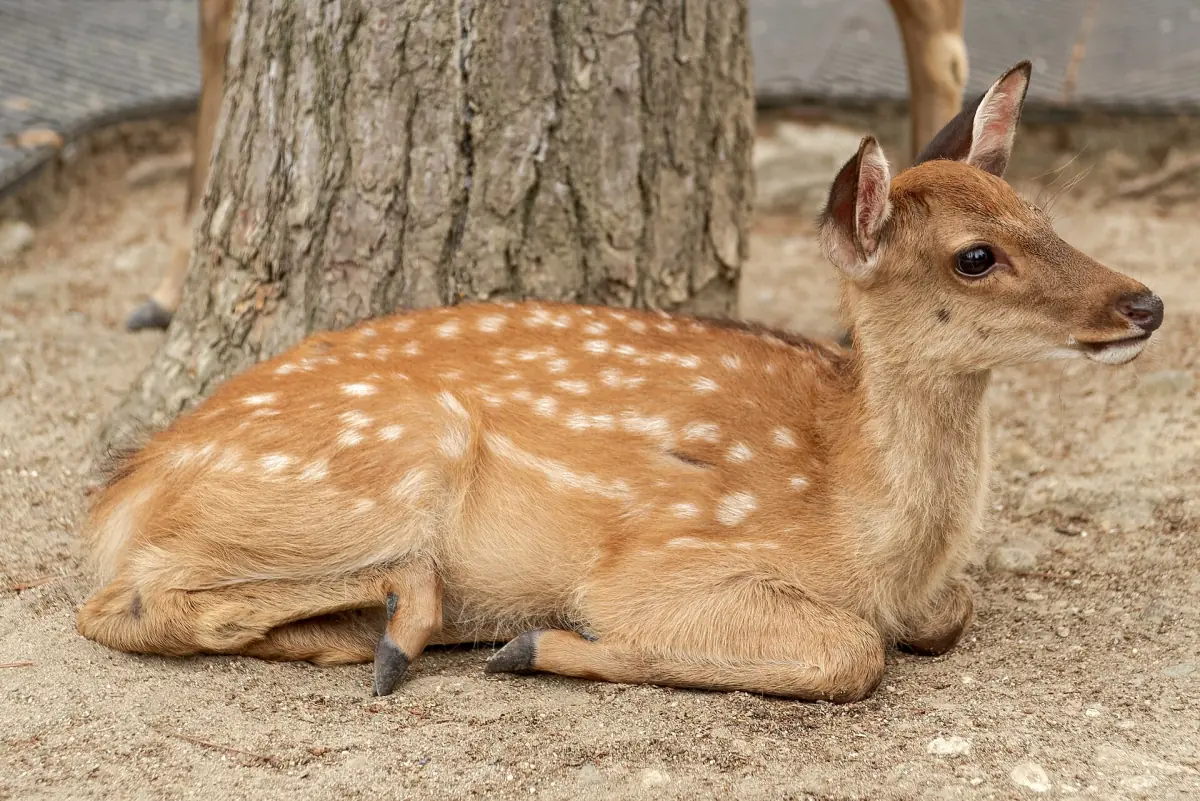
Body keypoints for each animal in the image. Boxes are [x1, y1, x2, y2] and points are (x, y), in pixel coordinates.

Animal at [77, 59, 1164, 703]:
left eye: (1041, 213)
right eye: (975, 257)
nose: (1145, 302)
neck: (863, 515)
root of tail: (125, 491)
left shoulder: (922, 595)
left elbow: (949, 613)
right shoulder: (661, 559)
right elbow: (853, 653)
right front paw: (540, 646)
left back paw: (374, 634)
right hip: (388, 459)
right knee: (124, 603)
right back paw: (417, 622)